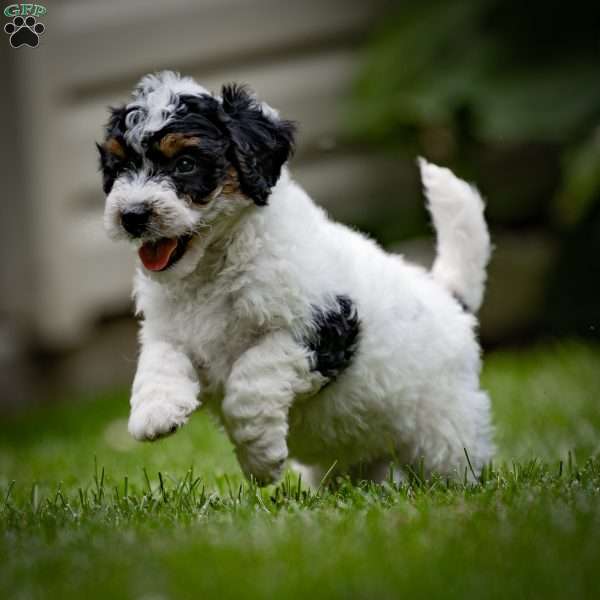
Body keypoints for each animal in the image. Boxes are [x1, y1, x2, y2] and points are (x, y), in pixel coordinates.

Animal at [98, 70, 492, 486]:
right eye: (119, 168)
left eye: (186, 163)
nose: (132, 215)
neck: (215, 264)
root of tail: (448, 296)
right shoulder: (170, 330)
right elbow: (160, 359)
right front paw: (156, 411)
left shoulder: (319, 329)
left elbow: (251, 380)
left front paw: (260, 458)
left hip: (444, 426)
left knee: (452, 458)